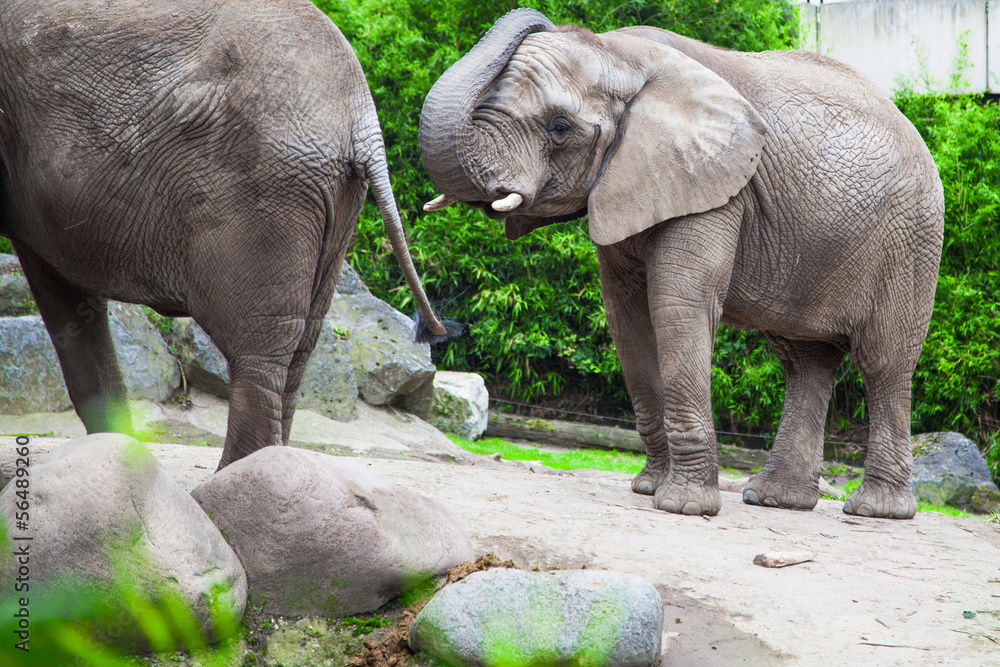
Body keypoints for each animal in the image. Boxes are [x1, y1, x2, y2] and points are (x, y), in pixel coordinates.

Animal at [0, 0, 457, 469]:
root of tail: (361, 116)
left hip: (261, 186)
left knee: (259, 349)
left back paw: (238, 478)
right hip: (337, 197)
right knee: (301, 347)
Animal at [418, 9, 944, 518]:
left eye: (560, 127)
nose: (546, 20)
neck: (622, 56)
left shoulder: (716, 185)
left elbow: (677, 307)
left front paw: (683, 506)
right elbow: (627, 318)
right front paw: (648, 488)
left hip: (911, 238)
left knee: (883, 361)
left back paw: (875, 510)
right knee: (804, 361)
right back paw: (776, 499)